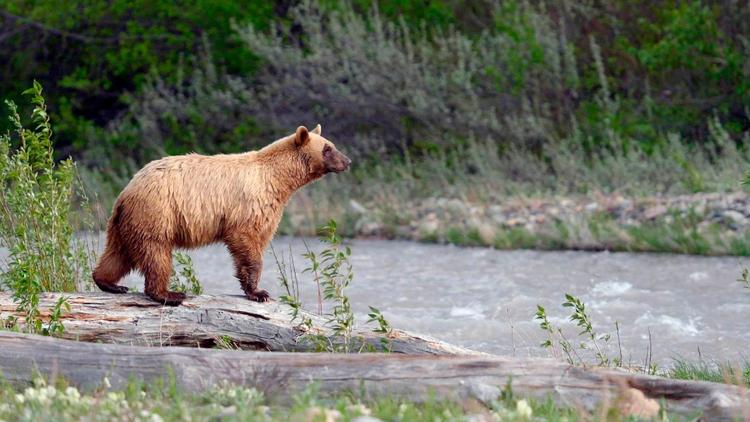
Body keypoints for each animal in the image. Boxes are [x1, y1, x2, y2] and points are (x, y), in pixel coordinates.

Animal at [92, 125, 352, 306]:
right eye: (327, 148)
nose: (347, 161)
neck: (278, 180)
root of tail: (126, 192)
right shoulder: (249, 204)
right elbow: (245, 240)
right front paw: (259, 292)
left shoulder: (269, 209)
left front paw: (254, 289)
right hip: (157, 213)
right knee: (156, 253)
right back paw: (168, 293)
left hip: (126, 221)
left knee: (118, 253)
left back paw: (109, 283)